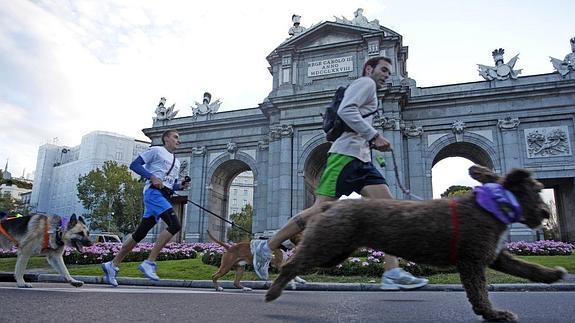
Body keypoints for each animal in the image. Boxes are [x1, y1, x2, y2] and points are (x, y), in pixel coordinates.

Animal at [268, 166, 568, 322]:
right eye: (535, 189)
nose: (545, 213)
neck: (489, 206)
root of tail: (332, 206)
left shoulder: (493, 255)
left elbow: (525, 267)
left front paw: (553, 274)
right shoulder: (472, 261)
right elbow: (479, 294)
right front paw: (494, 314)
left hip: (336, 251)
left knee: (302, 260)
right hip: (328, 247)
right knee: (294, 263)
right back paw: (273, 288)